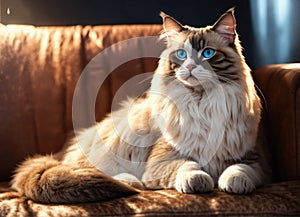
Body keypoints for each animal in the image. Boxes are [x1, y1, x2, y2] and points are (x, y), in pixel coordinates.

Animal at [11, 8, 270, 204]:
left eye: (207, 53)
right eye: (181, 54)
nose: (189, 68)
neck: (201, 102)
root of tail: (61, 152)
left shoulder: (254, 159)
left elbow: (240, 170)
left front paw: (232, 183)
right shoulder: (162, 161)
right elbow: (188, 166)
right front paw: (199, 181)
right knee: (93, 171)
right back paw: (130, 181)